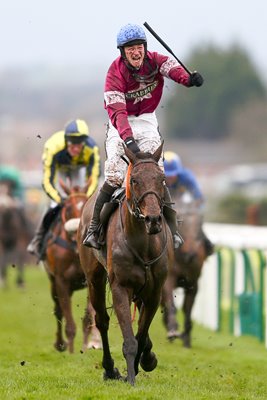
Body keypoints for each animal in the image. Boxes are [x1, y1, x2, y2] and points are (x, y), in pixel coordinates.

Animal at [43, 181, 101, 354]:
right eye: (68, 208)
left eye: (86, 205)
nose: (78, 230)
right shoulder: (61, 281)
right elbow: (67, 320)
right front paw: (71, 352)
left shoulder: (91, 278)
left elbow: (89, 316)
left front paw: (87, 346)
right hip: (53, 284)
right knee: (58, 310)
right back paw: (60, 344)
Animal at [78, 143, 174, 384]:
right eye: (134, 180)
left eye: (162, 179)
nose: (153, 219)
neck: (143, 244)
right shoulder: (121, 287)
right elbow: (130, 340)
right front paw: (130, 377)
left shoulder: (154, 291)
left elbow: (141, 333)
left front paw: (146, 361)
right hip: (94, 278)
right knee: (101, 320)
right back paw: (109, 368)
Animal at [161, 196, 209, 346]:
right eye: (181, 219)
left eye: (200, 223)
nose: (191, 254)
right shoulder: (168, 279)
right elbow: (171, 304)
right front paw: (172, 330)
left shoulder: (193, 283)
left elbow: (187, 309)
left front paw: (186, 338)